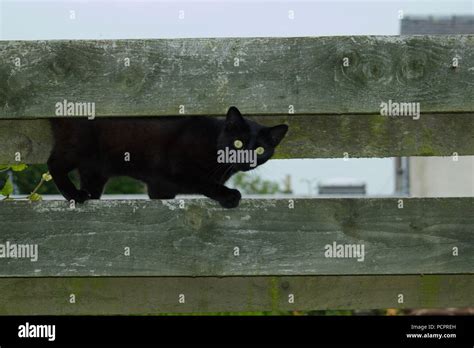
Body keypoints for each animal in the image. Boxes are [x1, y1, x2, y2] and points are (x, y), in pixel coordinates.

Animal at [46, 106, 286, 208]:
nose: (246, 158)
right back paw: (74, 195)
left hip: (96, 167)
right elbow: (203, 182)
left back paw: (88, 195)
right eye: (238, 143)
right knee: (54, 163)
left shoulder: (159, 187)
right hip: (78, 144)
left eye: (260, 150)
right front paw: (229, 195)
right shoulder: (173, 173)